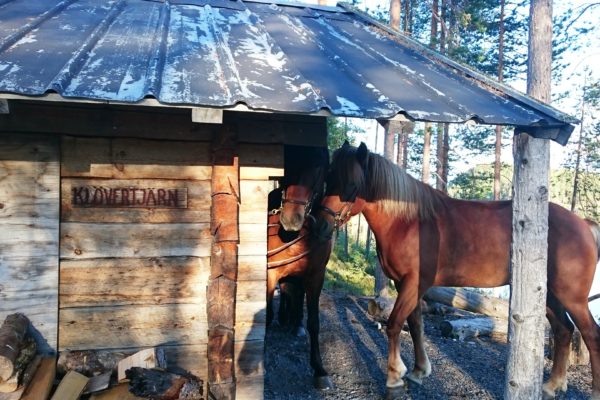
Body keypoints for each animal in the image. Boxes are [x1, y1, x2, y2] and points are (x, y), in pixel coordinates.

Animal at [266, 145, 332, 390]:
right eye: (287, 160)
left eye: (319, 164)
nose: (290, 219)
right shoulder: (271, 272)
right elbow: (265, 317)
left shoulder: (316, 275)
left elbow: (315, 322)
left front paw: (319, 370)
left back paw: (294, 323)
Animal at [318, 143, 600, 400]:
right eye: (328, 177)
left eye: (351, 185)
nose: (320, 224)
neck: (409, 221)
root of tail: (584, 224)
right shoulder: (406, 284)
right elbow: (416, 325)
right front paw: (419, 371)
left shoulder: (413, 283)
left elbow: (395, 323)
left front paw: (394, 378)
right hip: (548, 294)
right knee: (564, 331)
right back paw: (552, 385)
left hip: (573, 298)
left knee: (590, 334)